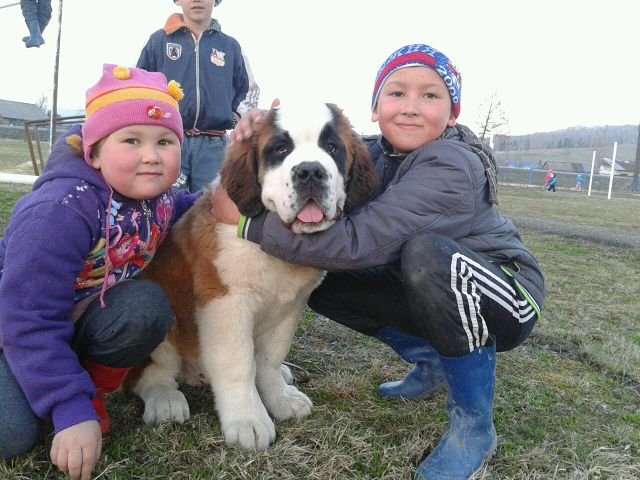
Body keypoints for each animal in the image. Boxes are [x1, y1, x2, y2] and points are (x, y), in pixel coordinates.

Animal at [125, 102, 378, 451]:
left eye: (332, 148)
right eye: (280, 149)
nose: (310, 171)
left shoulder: (289, 307)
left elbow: (269, 357)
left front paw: (280, 398)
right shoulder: (225, 304)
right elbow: (238, 364)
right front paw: (248, 420)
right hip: (162, 328)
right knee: (151, 373)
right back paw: (165, 399)